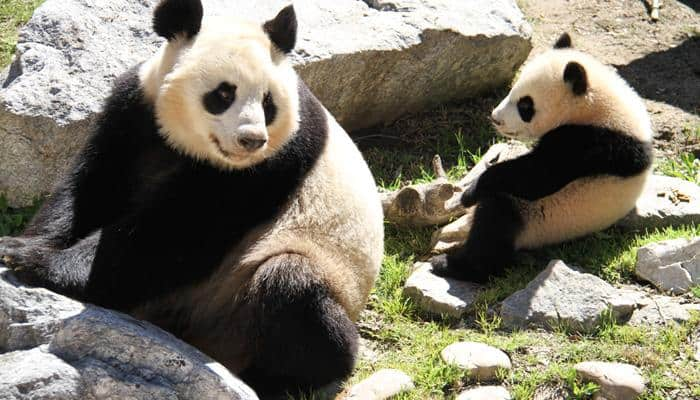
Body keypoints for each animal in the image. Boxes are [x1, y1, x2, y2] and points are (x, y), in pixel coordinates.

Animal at [0, 1, 382, 396]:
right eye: (224, 94)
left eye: (268, 102)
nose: (251, 140)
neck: (186, 146)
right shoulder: (134, 110)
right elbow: (90, 187)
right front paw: (25, 245)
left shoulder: (272, 163)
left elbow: (174, 235)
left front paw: (35, 261)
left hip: (269, 287)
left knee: (292, 285)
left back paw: (281, 377)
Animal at [430, 34, 652, 282]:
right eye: (512, 92)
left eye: (525, 105)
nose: (496, 118)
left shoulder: (590, 143)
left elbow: (537, 177)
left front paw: (470, 193)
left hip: (541, 220)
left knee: (495, 222)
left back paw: (451, 265)